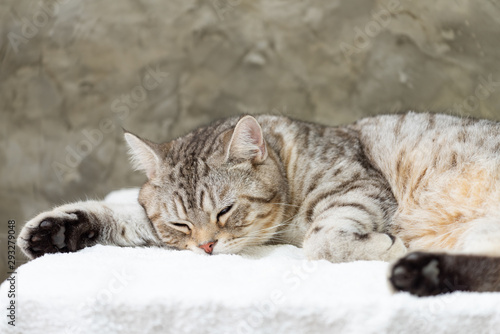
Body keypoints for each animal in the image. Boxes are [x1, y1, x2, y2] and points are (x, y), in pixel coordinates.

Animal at [15, 111, 500, 294]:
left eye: (225, 211)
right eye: (180, 224)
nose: (207, 246)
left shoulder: (359, 186)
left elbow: (322, 241)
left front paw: (383, 246)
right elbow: (126, 217)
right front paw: (56, 230)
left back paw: (416, 269)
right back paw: (425, 271)